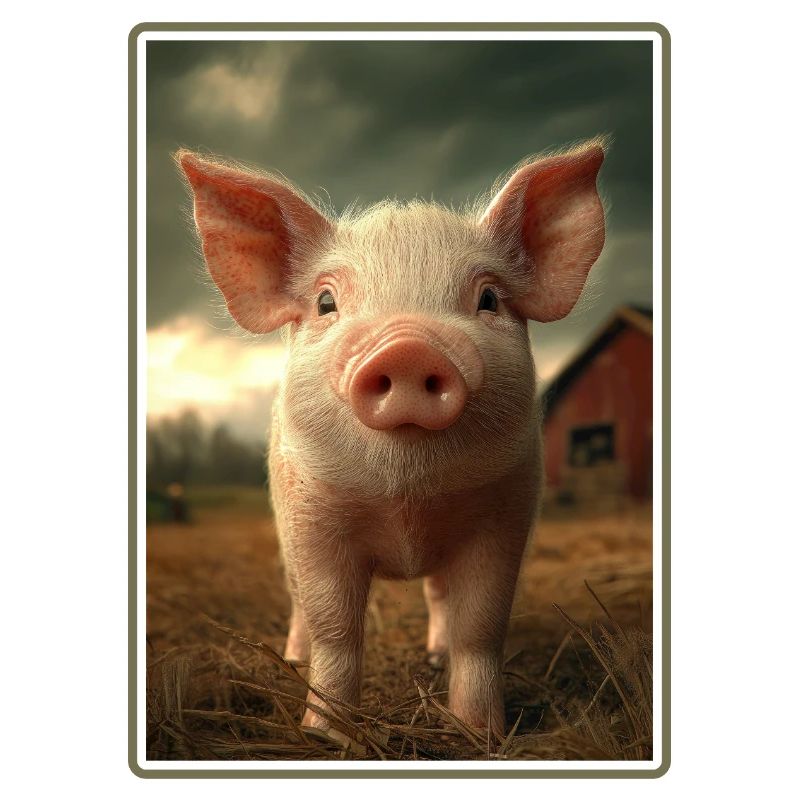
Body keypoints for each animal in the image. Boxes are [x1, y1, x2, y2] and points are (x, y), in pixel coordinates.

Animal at [177, 139, 606, 740]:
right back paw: (293, 658)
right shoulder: (313, 519)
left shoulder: (505, 513)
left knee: (439, 598)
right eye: (326, 302)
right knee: (299, 603)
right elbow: (335, 628)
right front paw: (325, 735)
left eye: (489, 299)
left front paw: (481, 734)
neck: (407, 503)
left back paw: (434, 656)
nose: (407, 346)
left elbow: (480, 627)